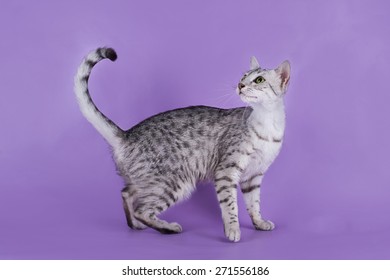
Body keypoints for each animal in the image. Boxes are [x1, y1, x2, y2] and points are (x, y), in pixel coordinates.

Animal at [74, 47, 290, 242]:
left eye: (259, 80)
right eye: (244, 76)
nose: (240, 85)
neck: (268, 124)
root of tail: (126, 135)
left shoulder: (253, 176)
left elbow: (254, 205)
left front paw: (259, 223)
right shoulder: (226, 172)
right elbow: (230, 206)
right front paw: (233, 230)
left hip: (147, 182)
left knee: (126, 194)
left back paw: (136, 225)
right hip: (175, 183)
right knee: (141, 210)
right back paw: (167, 228)